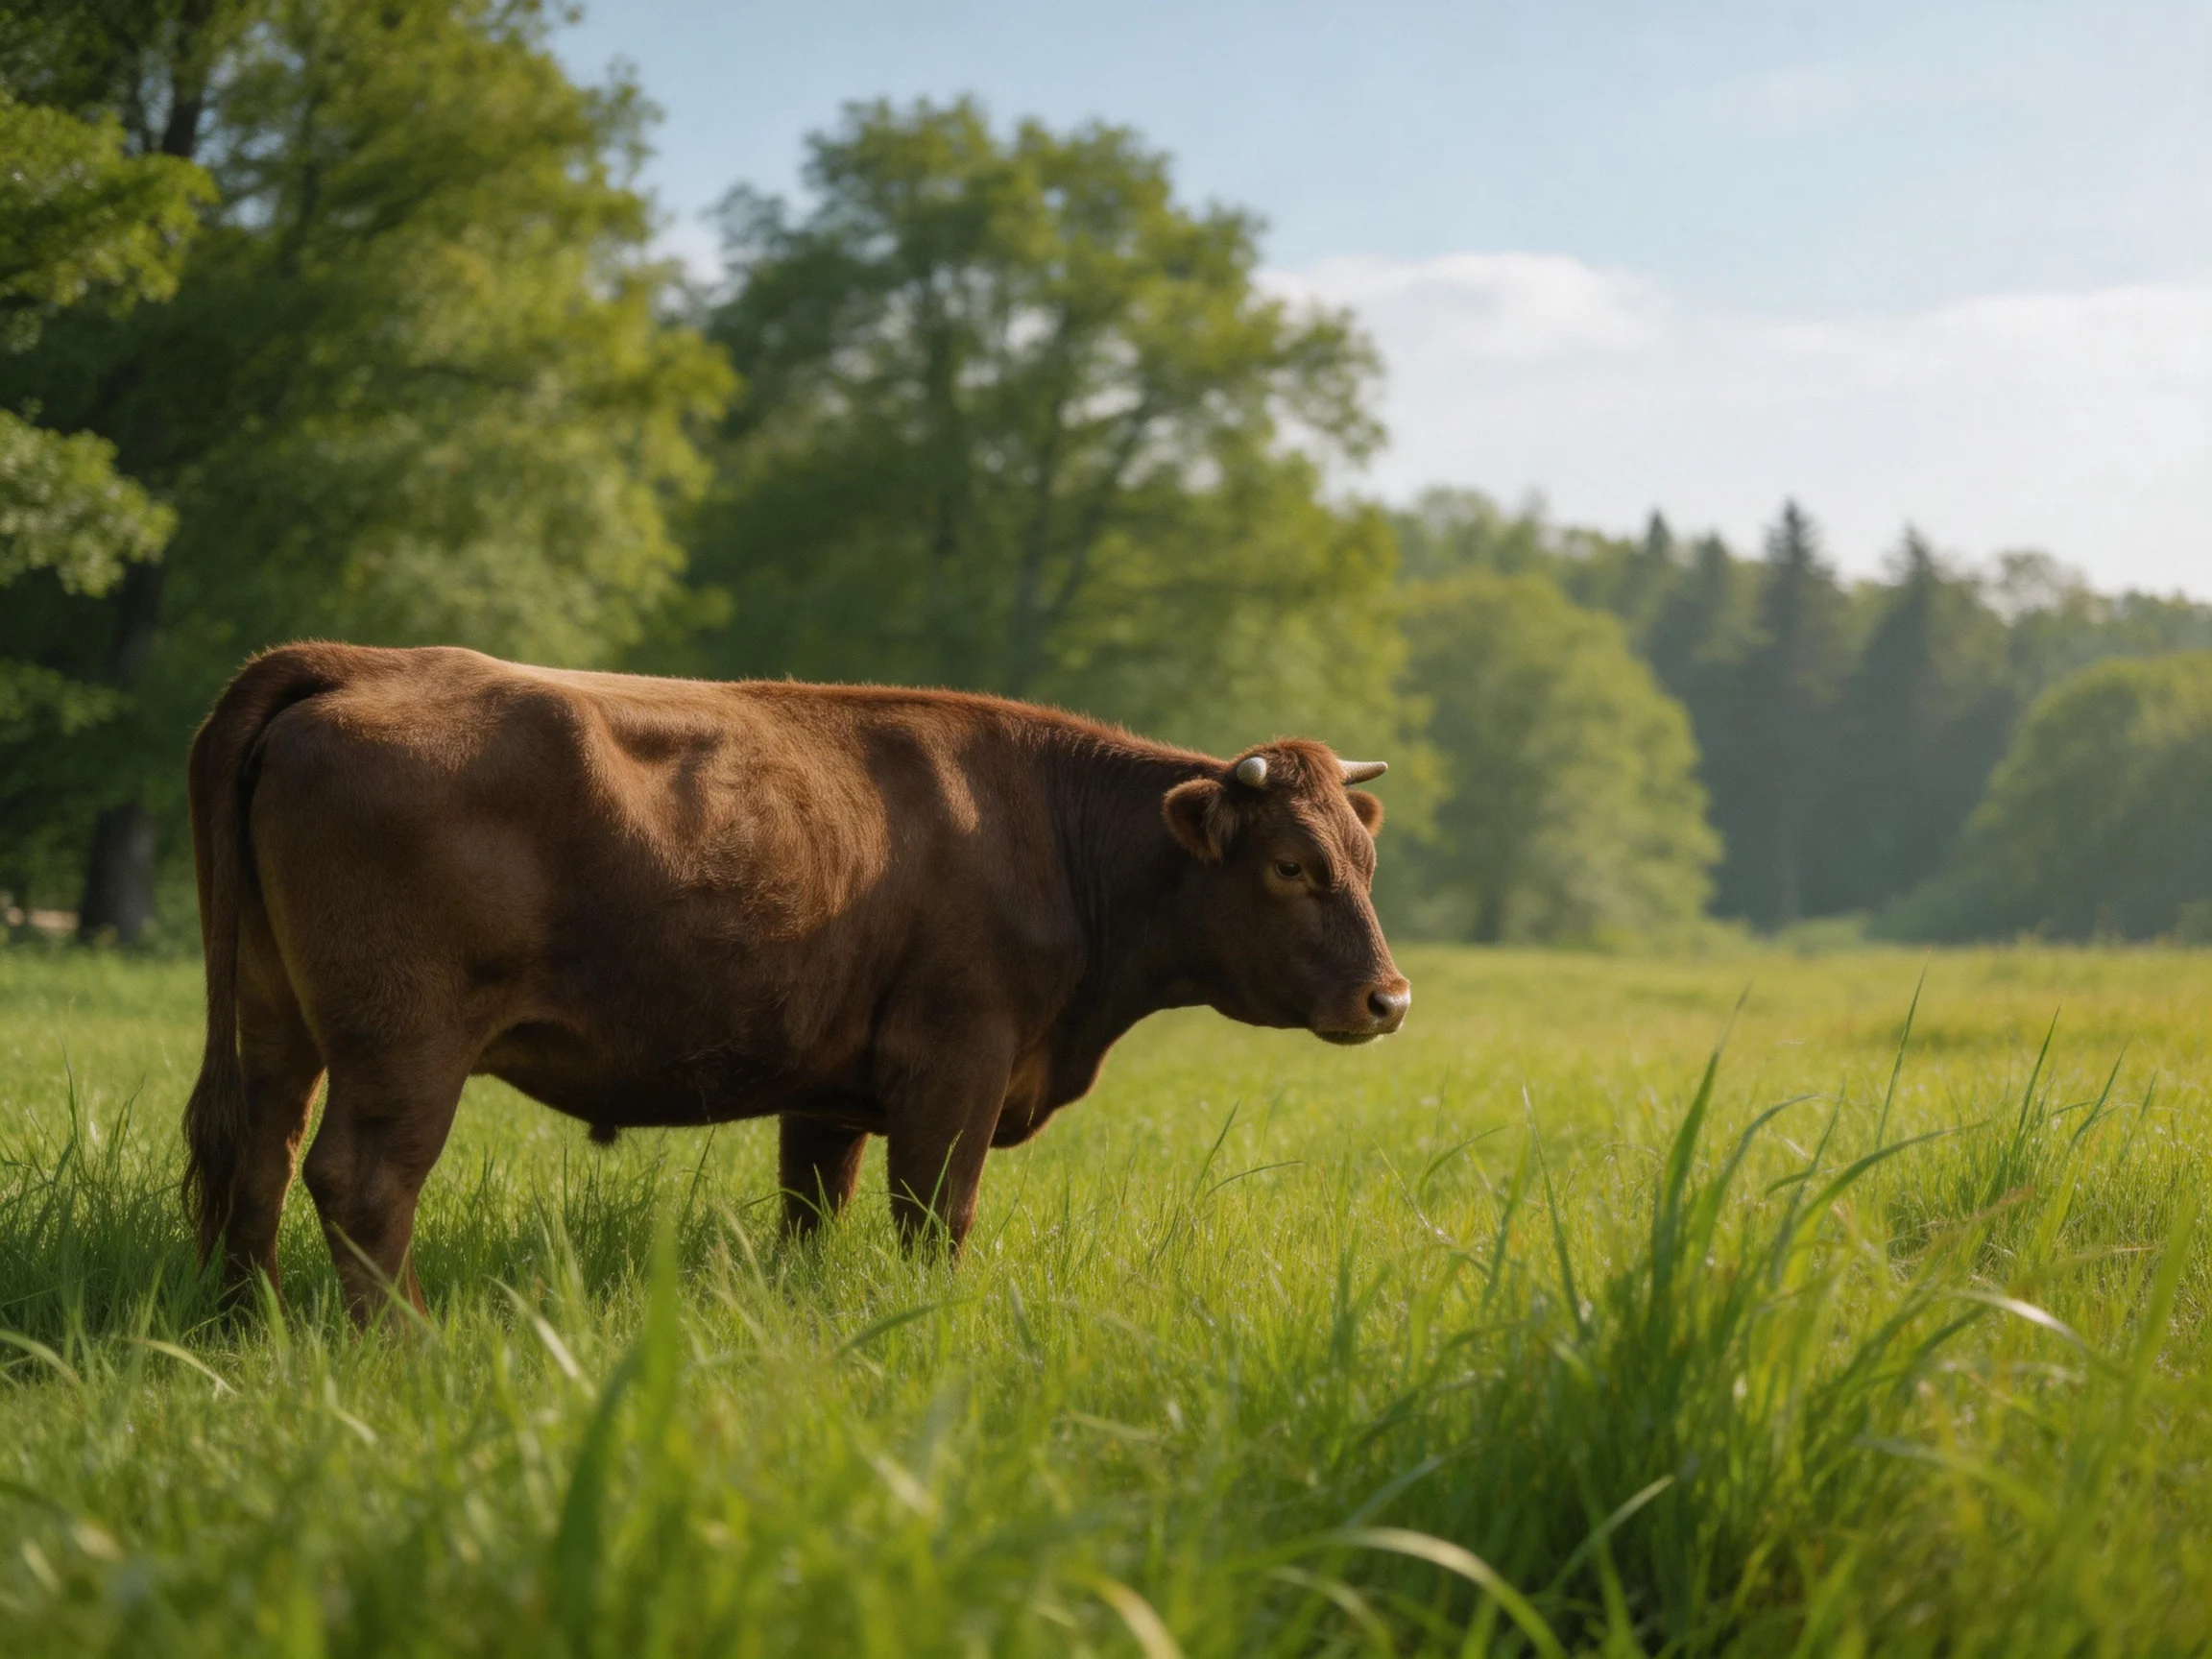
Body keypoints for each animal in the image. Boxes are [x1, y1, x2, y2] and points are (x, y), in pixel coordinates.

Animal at [180, 643, 1410, 1323]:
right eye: (1290, 866)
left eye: (1366, 856)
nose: (1389, 1000)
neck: (1053, 838)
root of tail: (359, 661)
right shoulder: (956, 1065)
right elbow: (936, 1215)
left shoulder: (830, 1089)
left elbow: (813, 1211)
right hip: (406, 1041)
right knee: (360, 1181)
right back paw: (402, 1345)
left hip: (276, 1021)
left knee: (256, 1154)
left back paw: (250, 1326)